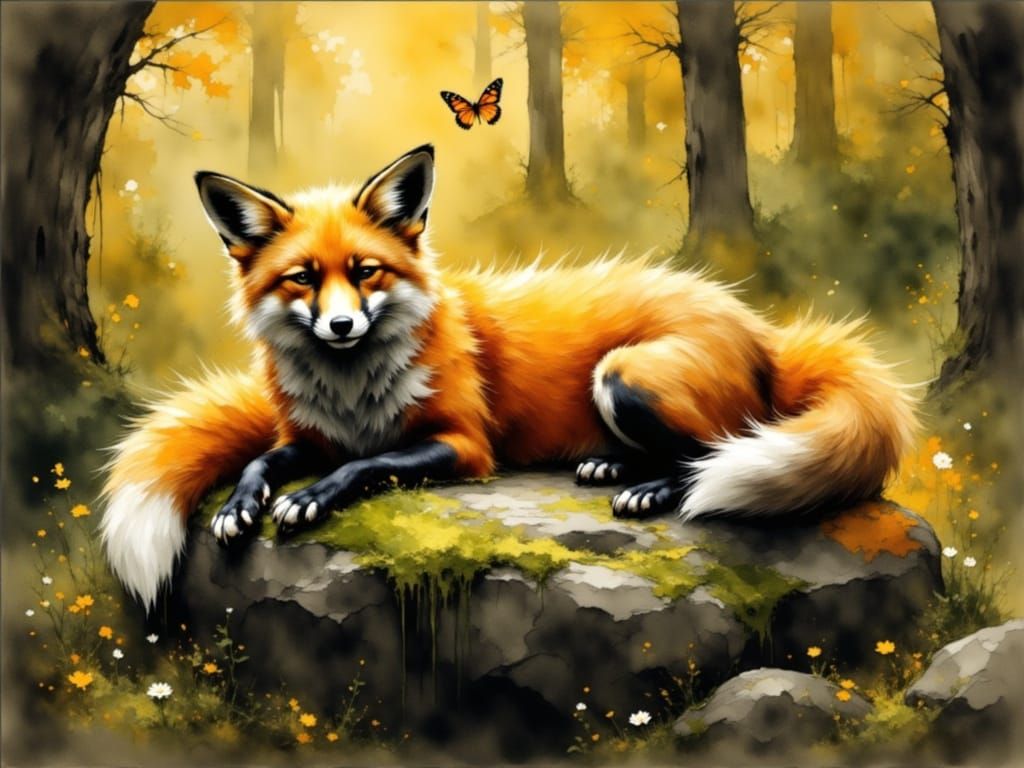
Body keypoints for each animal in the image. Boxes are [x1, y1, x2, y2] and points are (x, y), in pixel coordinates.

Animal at [100, 144, 917, 610]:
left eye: (366, 273)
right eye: (302, 279)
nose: (340, 328)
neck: (357, 393)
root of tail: (760, 330)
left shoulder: (464, 444)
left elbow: (367, 465)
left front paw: (307, 501)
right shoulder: (312, 434)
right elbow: (264, 459)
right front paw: (244, 505)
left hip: (622, 376)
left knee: (710, 452)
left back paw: (649, 487)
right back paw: (611, 464)